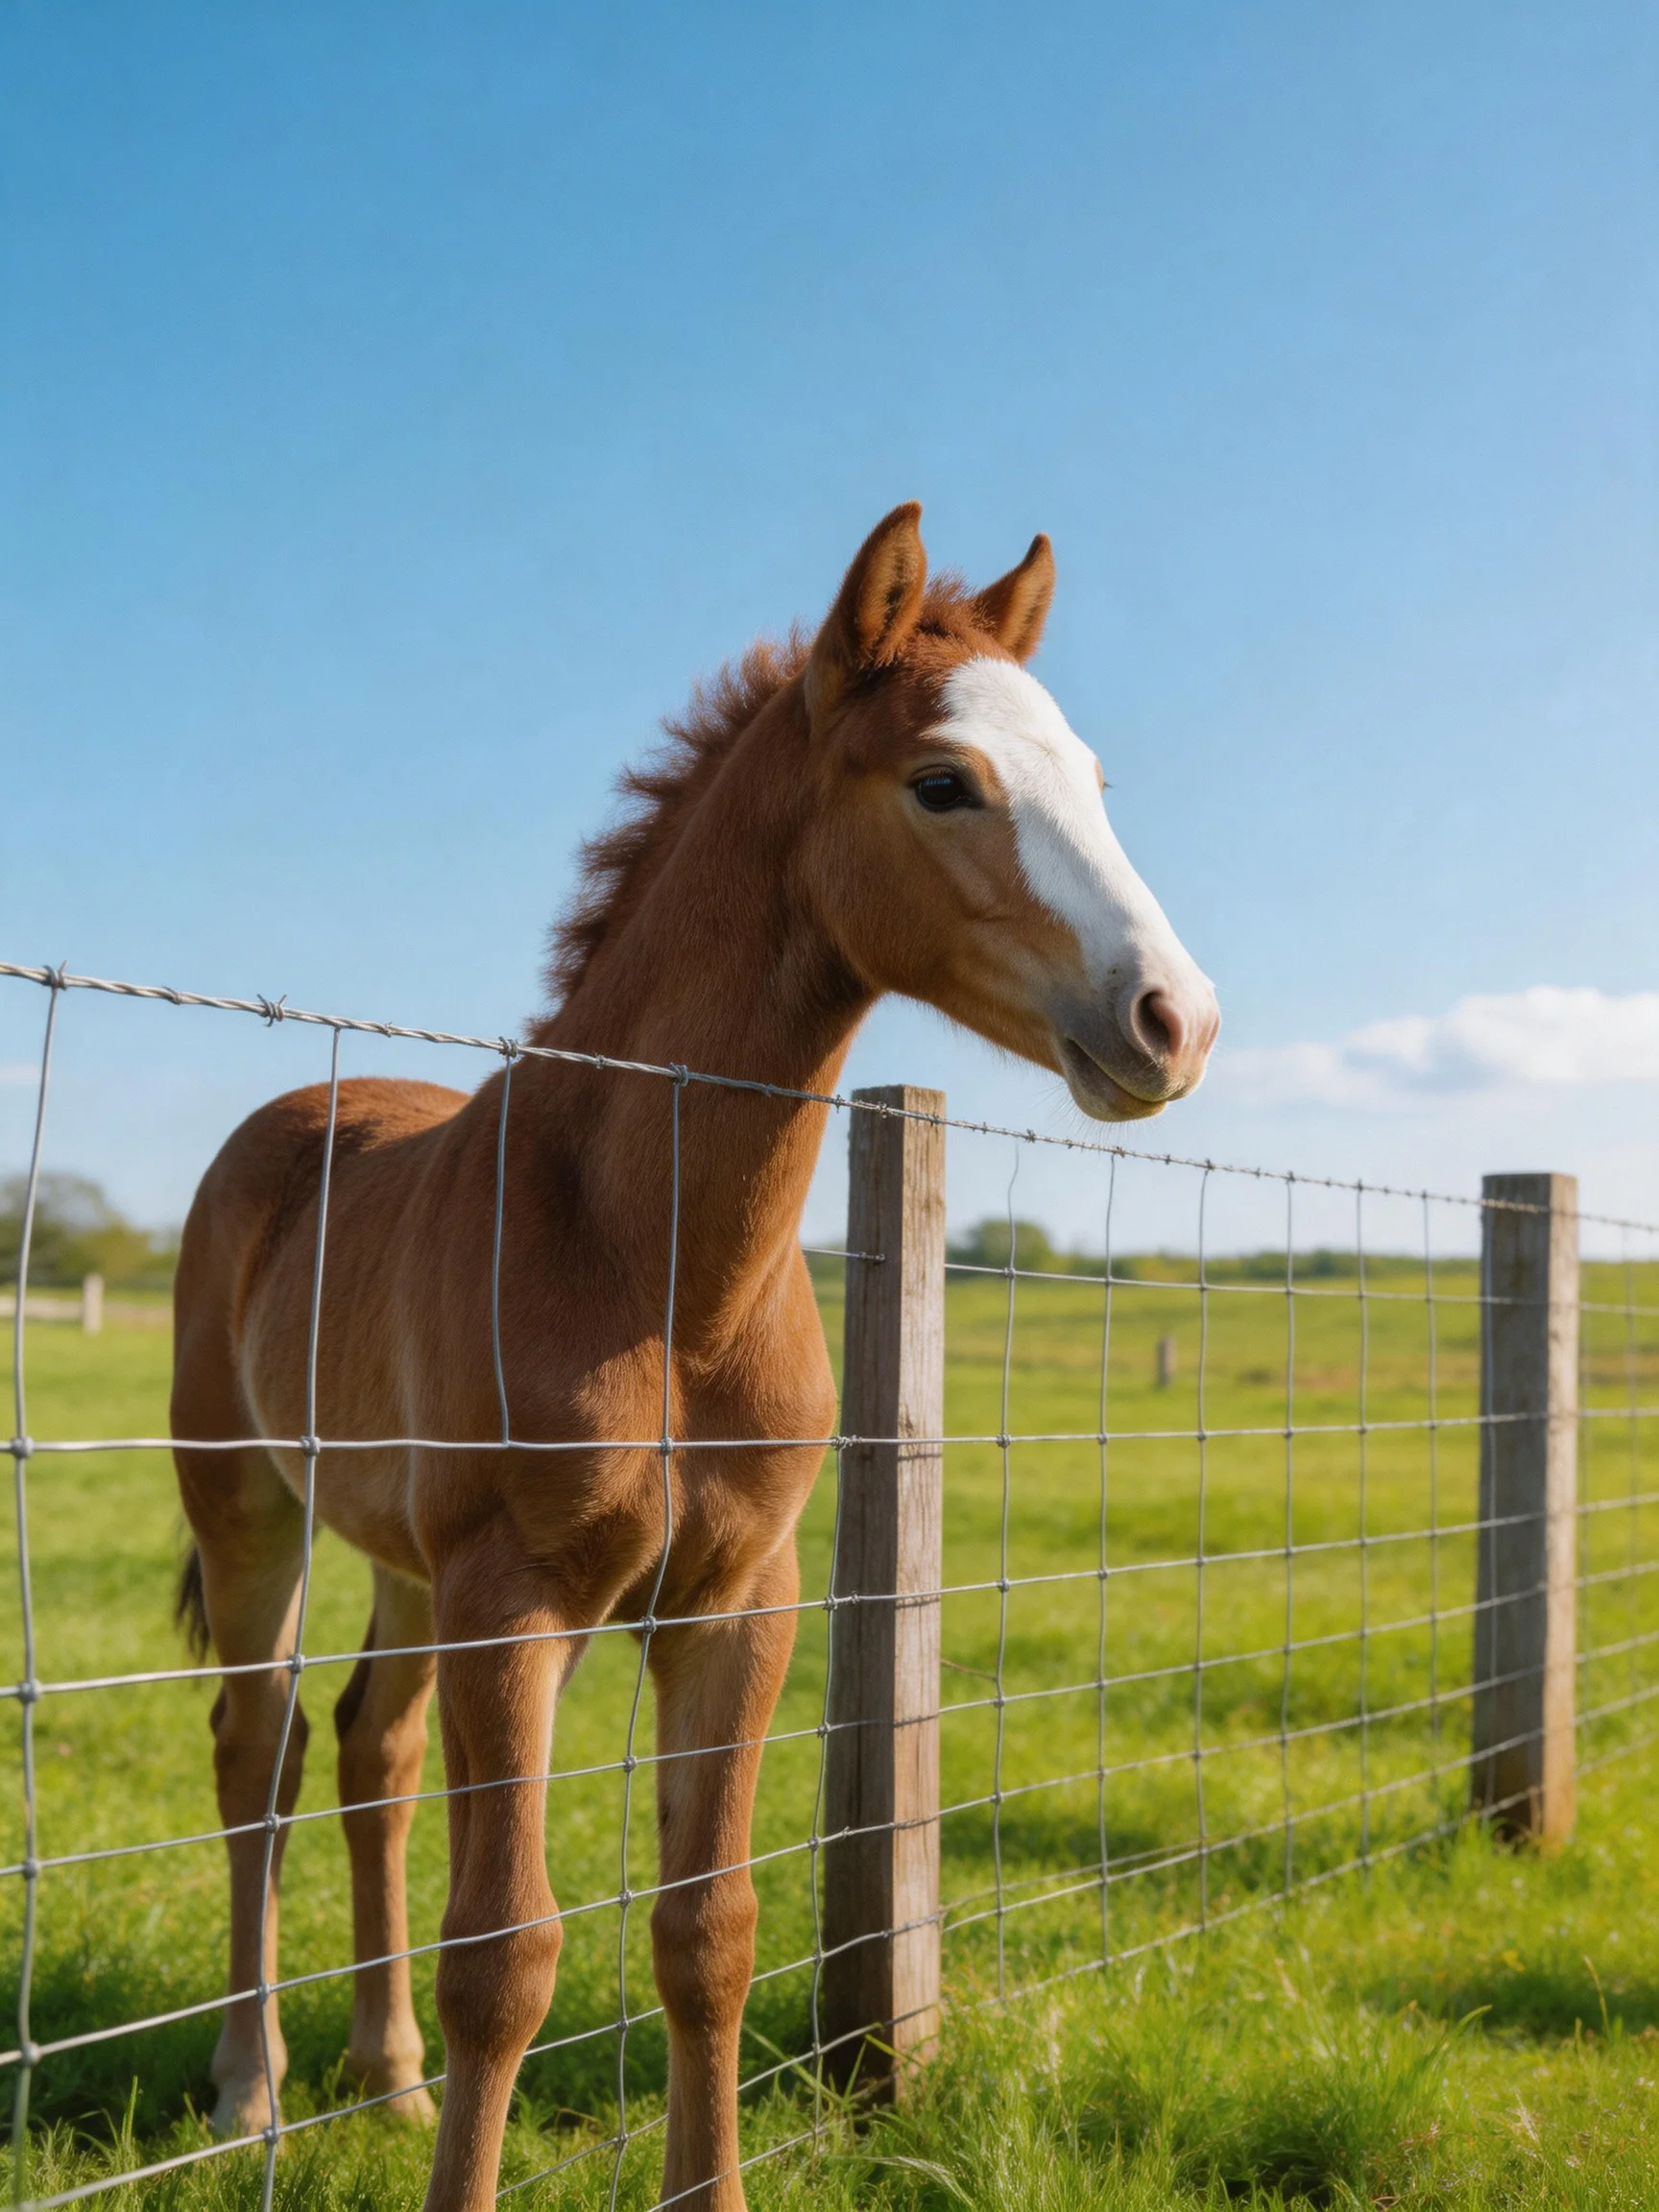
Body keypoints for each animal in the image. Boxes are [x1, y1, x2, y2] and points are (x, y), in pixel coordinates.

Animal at [170, 502, 1219, 2212]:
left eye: (1094, 781)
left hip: (403, 1555)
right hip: (251, 1505)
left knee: (371, 1751)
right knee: (257, 1750)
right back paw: (248, 2093)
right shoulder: (516, 1600)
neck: (662, 1272)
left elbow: (708, 1932)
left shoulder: (740, 1599)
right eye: (944, 781)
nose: (1175, 1023)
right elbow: (505, 1955)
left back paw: (383, 2082)